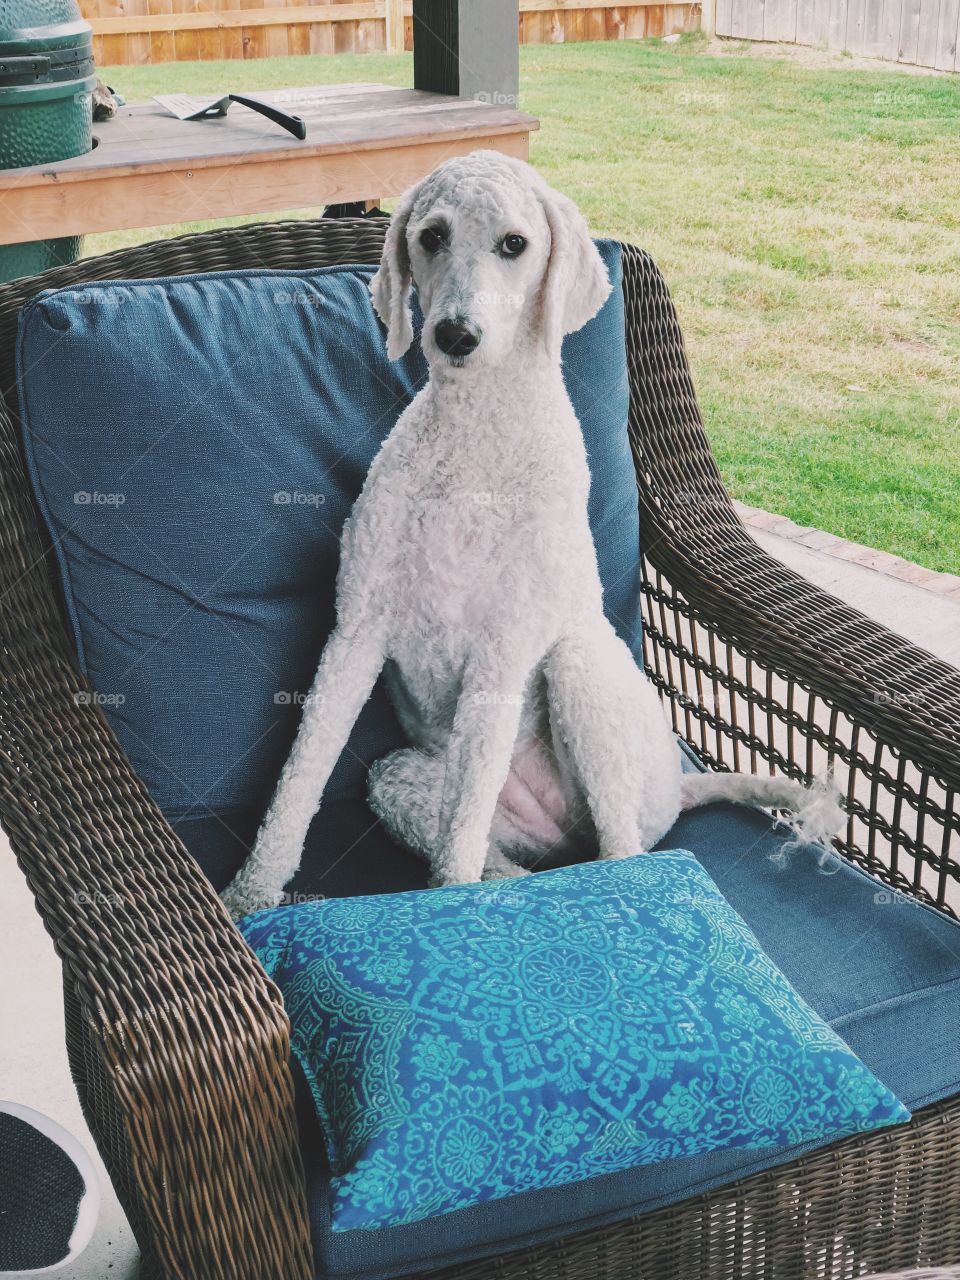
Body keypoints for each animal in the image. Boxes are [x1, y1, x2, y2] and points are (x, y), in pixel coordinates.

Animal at [221, 152, 839, 921]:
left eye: (514, 244)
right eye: (430, 236)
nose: (455, 336)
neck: (475, 438)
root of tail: (681, 786)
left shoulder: (501, 652)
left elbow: (455, 834)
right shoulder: (356, 630)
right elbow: (297, 781)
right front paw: (249, 895)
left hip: (578, 671)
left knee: (618, 851)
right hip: (402, 780)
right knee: (504, 860)